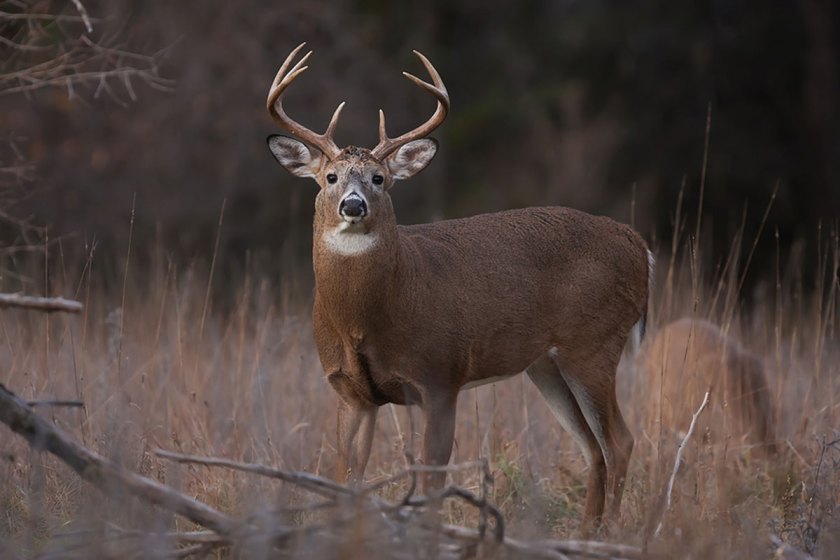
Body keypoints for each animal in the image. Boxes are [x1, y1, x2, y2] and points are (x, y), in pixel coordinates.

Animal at [265, 43, 653, 532]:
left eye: (379, 179)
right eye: (330, 178)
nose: (353, 205)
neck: (367, 316)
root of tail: (638, 244)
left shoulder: (438, 375)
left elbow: (433, 479)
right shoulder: (350, 391)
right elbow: (345, 479)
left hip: (595, 343)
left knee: (619, 442)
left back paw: (609, 532)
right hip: (546, 364)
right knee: (593, 448)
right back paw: (586, 532)